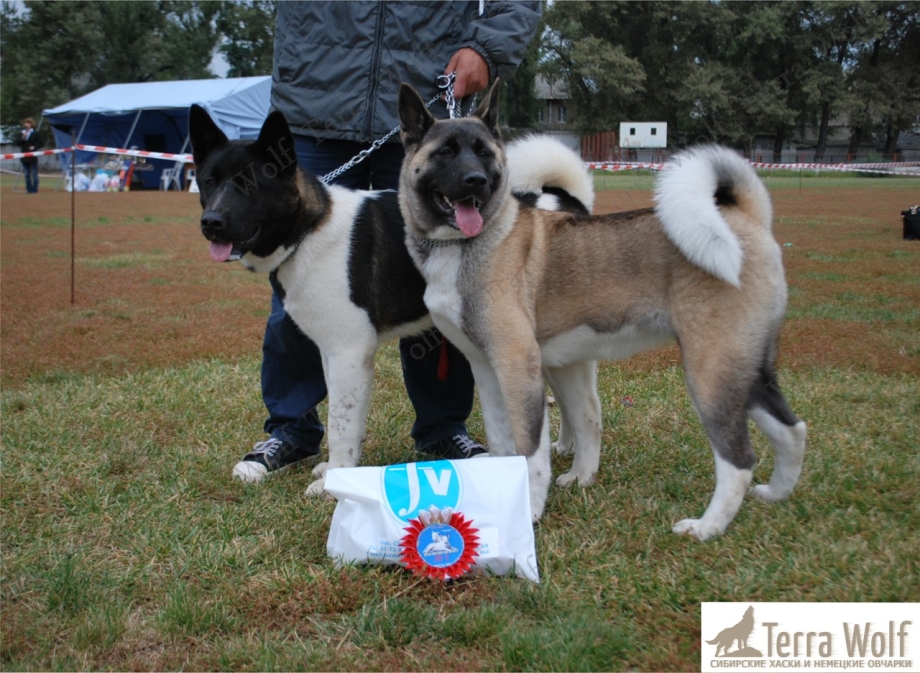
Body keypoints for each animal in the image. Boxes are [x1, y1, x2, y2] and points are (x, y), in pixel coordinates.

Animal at [396, 81, 804, 540]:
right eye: (446, 152)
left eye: (484, 153)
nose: (476, 181)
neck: (467, 244)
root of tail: (746, 219)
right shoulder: (486, 369)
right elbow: (503, 442)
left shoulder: (518, 367)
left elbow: (530, 454)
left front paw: (530, 511)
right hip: (747, 369)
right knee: (792, 430)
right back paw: (776, 494)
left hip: (711, 372)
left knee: (738, 461)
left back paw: (706, 527)